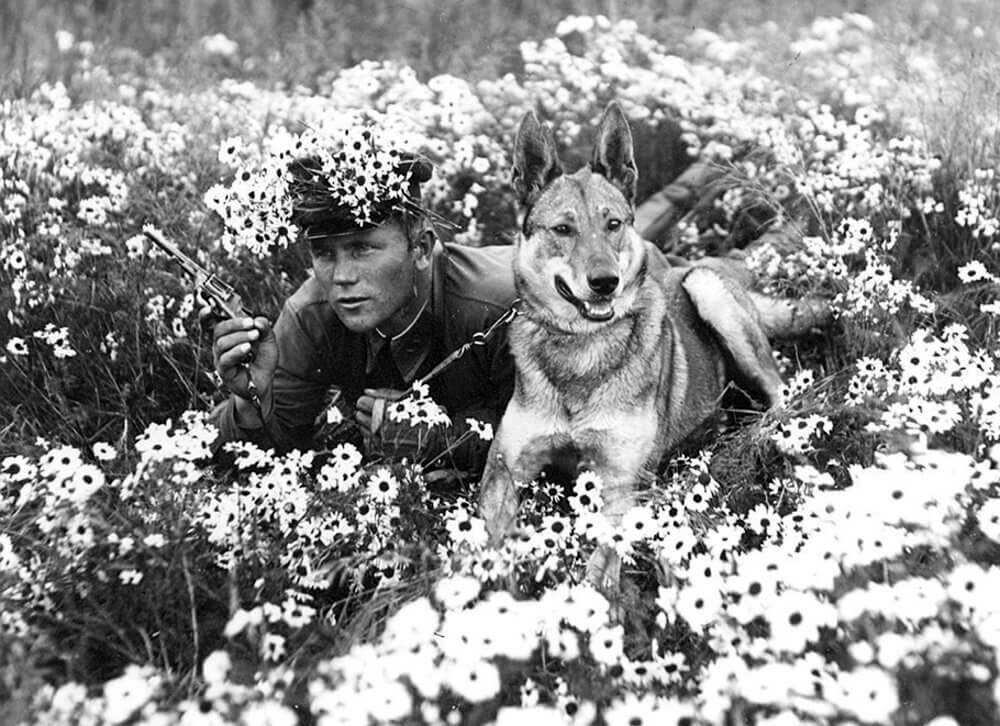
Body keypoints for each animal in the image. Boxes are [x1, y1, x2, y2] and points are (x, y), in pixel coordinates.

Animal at [476, 101, 828, 592]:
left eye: (613, 224)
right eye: (563, 229)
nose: (605, 282)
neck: (583, 348)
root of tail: (699, 264)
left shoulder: (622, 481)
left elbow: (600, 565)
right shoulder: (504, 471)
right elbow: (476, 547)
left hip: (709, 291)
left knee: (781, 393)